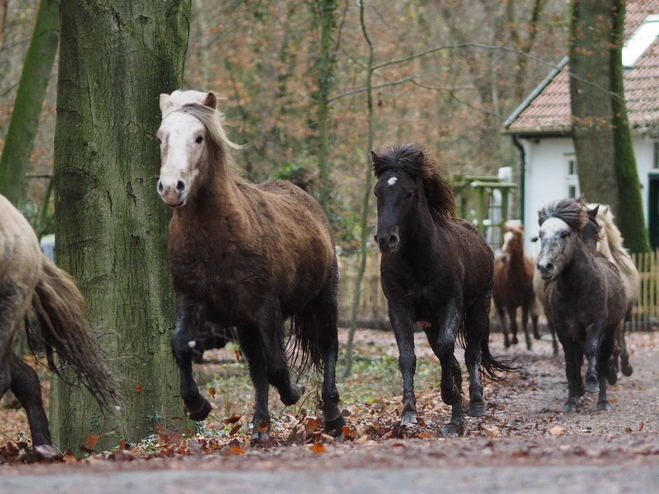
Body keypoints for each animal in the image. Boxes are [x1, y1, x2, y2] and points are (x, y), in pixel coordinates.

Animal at [156, 90, 346, 442]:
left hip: (324, 298)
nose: (172, 188)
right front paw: (196, 406)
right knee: (257, 369)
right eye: (161, 137)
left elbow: (277, 366)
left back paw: (333, 416)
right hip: (245, 325)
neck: (219, 243)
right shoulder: (193, 301)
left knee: (328, 347)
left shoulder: (267, 309)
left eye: (199, 137)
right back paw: (260, 427)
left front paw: (295, 391)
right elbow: (181, 347)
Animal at [374, 144, 512, 436]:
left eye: (409, 193)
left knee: (472, 352)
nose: (385, 239)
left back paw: (475, 403)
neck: (417, 261)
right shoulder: (399, 309)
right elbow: (409, 356)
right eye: (378, 191)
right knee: (445, 353)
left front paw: (450, 396)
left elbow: (449, 347)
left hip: (479, 308)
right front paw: (409, 412)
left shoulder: (450, 305)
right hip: (430, 322)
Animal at [492, 224, 540, 352]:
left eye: (514, 240)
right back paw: (507, 341)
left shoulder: (529, 298)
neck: (518, 276)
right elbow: (513, 323)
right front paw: (514, 340)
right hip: (498, 301)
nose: (503, 257)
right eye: (503, 239)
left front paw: (536, 335)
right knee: (503, 318)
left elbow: (534, 316)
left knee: (523, 319)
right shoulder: (509, 302)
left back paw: (528, 342)